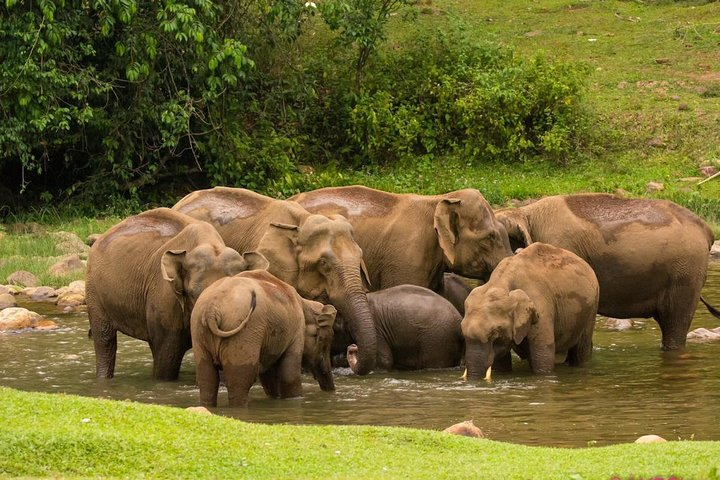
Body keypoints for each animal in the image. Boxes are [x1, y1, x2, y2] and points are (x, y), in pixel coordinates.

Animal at [190, 270, 336, 407]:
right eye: (324, 341)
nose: (331, 392)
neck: (305, 303)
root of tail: (211, 310)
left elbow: (269, 377)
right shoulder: (296, 329)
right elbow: (290, 375)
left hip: (198, 330)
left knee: (207, 379)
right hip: (244, 334)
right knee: (240, 380)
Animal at [332, 285, 464, 371]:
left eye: (334, 331)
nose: (352, 347)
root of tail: (459, 318)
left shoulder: (377, 328)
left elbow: (384, 360)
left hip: (436, 339)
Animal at [462, 242, 600, 378]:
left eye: (495, 333)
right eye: (462, 332)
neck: (500, 282)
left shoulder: (541, 307)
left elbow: (543, 356)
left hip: (591, 309)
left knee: (581, 351)